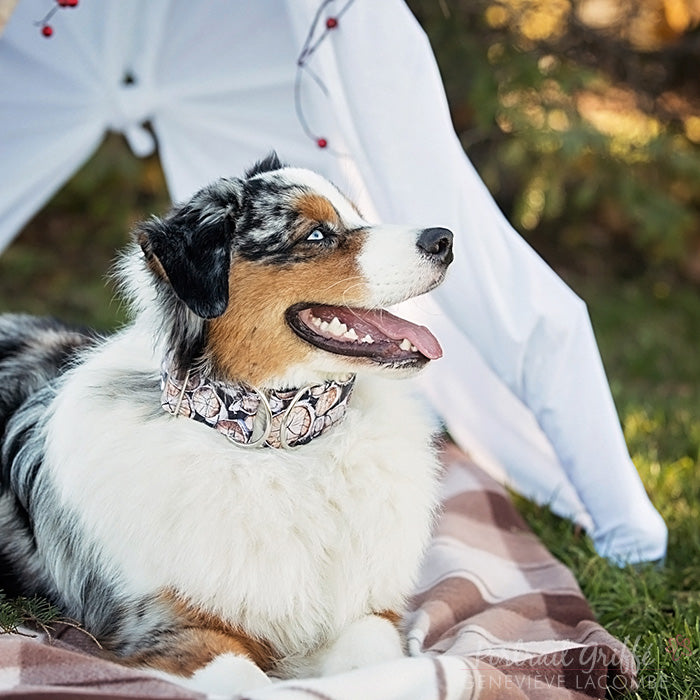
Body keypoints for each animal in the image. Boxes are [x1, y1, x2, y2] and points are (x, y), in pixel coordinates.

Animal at [0, 154, 454, 696]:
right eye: (316, 234)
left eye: (357, 214)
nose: (445, 239)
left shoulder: (368, 611)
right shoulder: (167, 624)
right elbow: (248, 681)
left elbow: (380, 667)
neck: (283, 447)